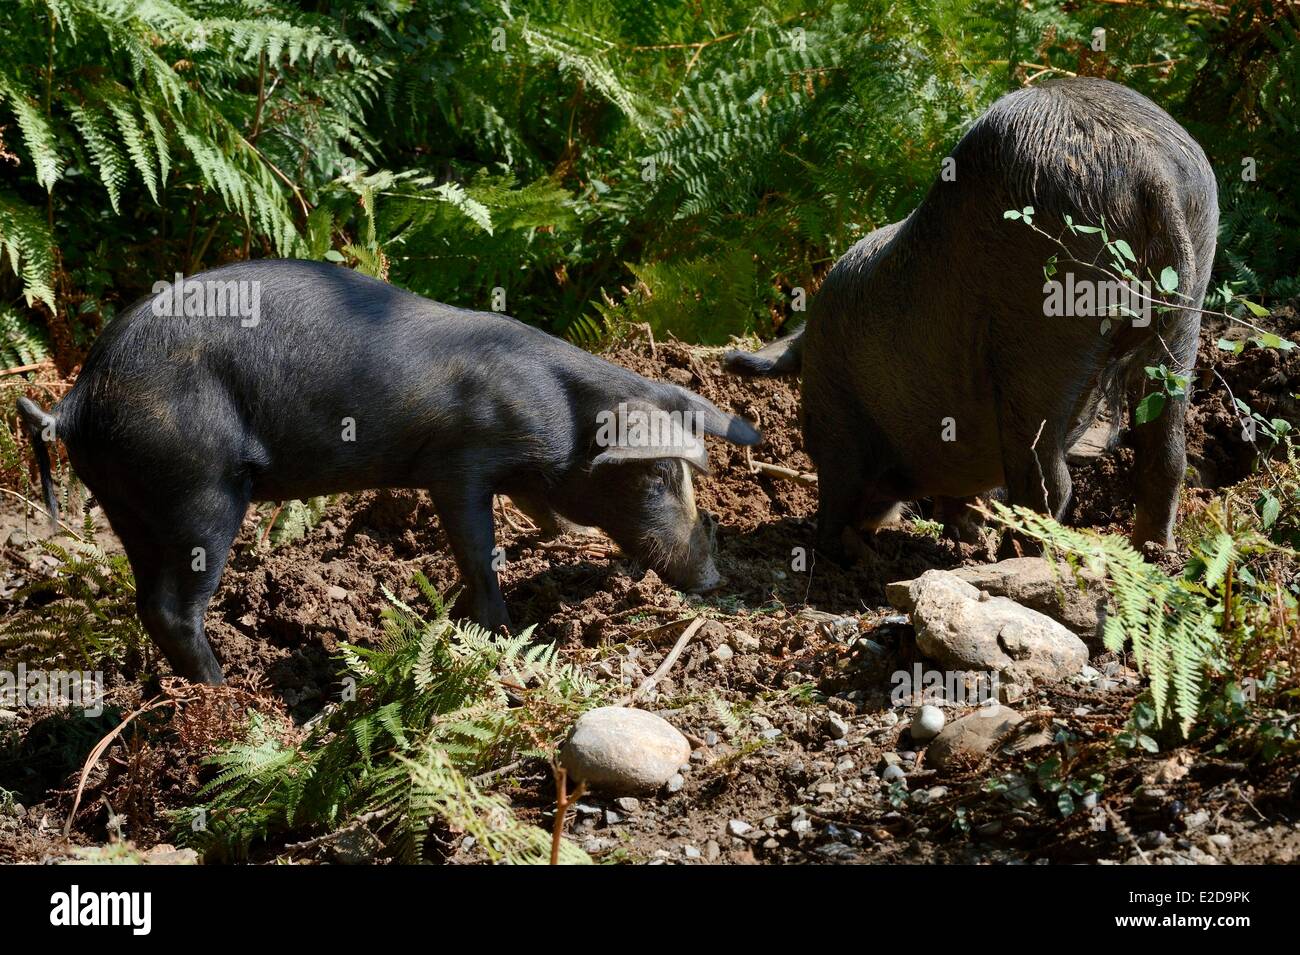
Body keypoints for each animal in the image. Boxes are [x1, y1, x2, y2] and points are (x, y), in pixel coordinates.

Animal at [18, 259, 760, 684]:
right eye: (657, 477)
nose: (712, 579)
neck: (560, 417)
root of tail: (76, 400)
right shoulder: (458, 464)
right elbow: (477, 550)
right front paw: (497, 631)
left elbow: (543, 512)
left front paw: (564, 540)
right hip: (196, 489)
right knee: (174, 606)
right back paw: (233, 698)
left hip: (129, 504)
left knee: (146, 600)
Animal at [725, 77, 1218, 560]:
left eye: (806, 425)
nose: (875, 522)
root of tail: (1149, 167)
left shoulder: (837, 421)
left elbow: (841, 482)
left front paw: (835, 547)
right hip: (1187, 306)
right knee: (1166, 455)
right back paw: (1152, 554)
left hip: (1042, 329)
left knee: (1049, 484)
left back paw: (1017, 558)